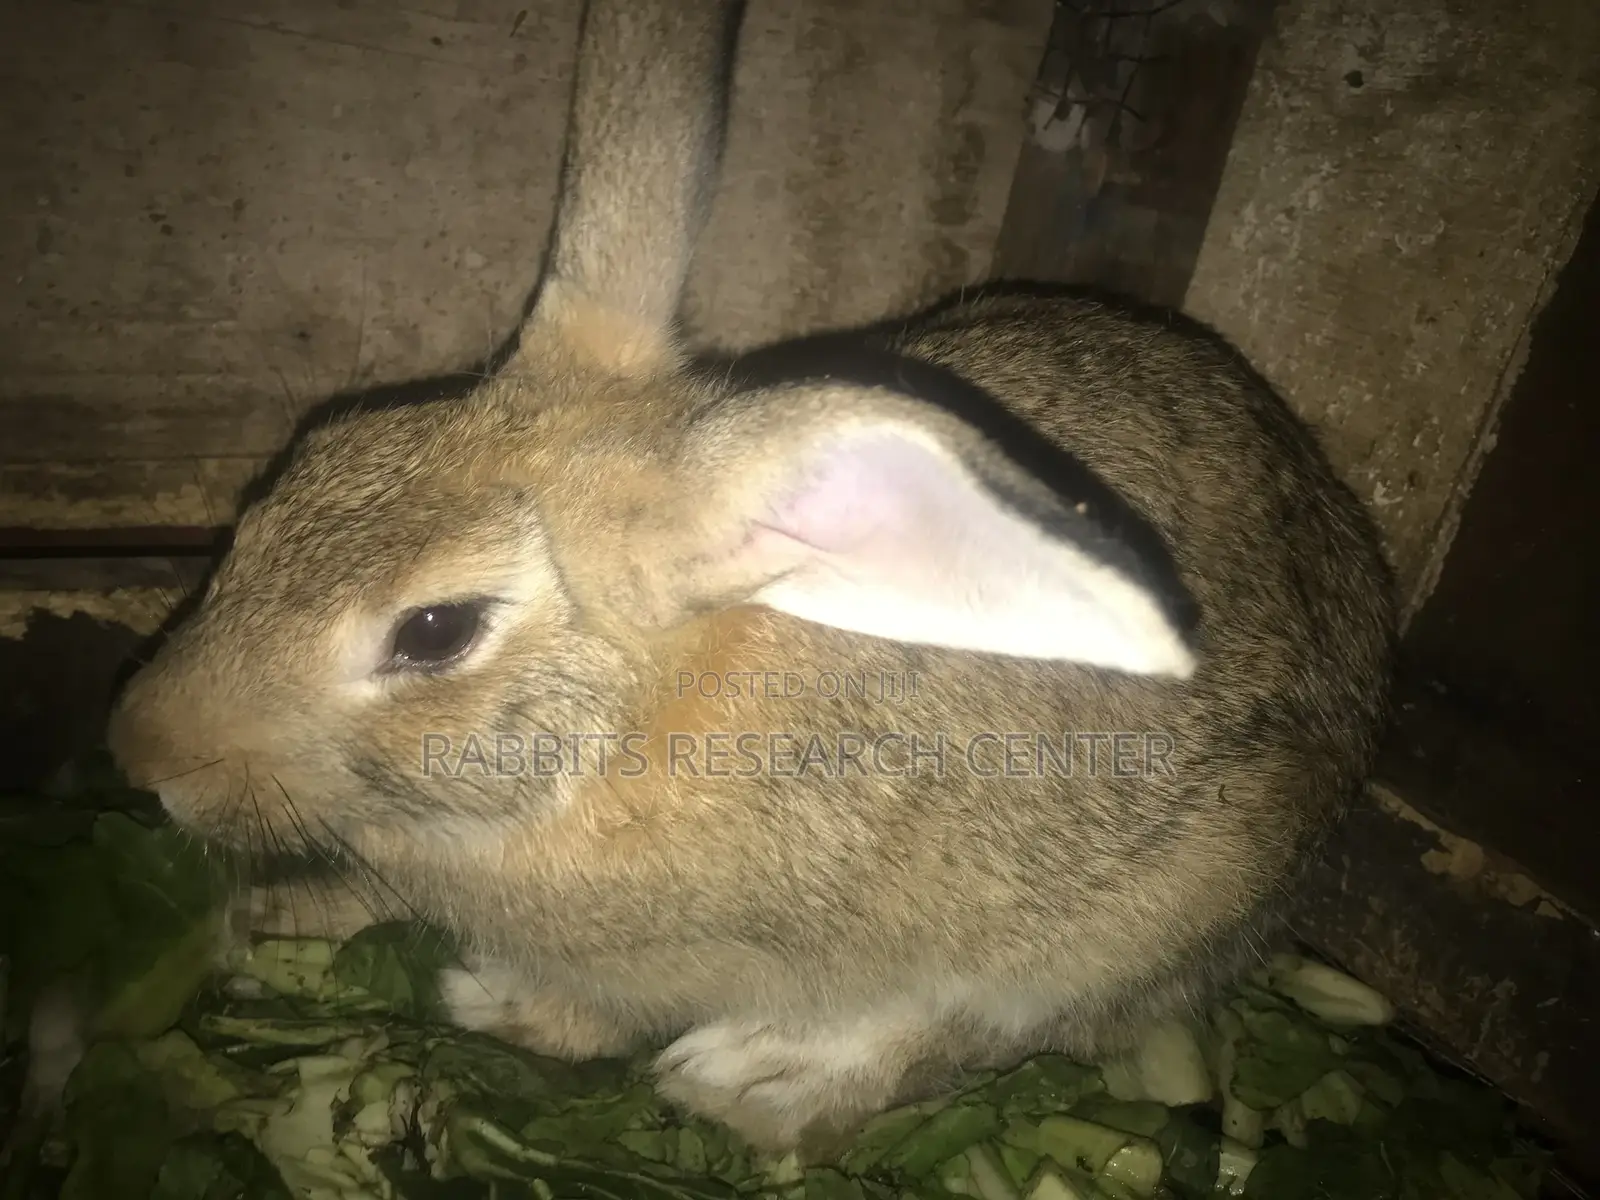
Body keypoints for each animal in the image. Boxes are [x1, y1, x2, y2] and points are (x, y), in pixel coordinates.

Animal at [105, 0, 1396, 1157]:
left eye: (433, 631)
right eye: (302, 468)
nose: (142, 755)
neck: (637, 727)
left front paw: (498, 1007)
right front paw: (278, 921)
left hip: (1155, 900)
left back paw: (755, 1079)